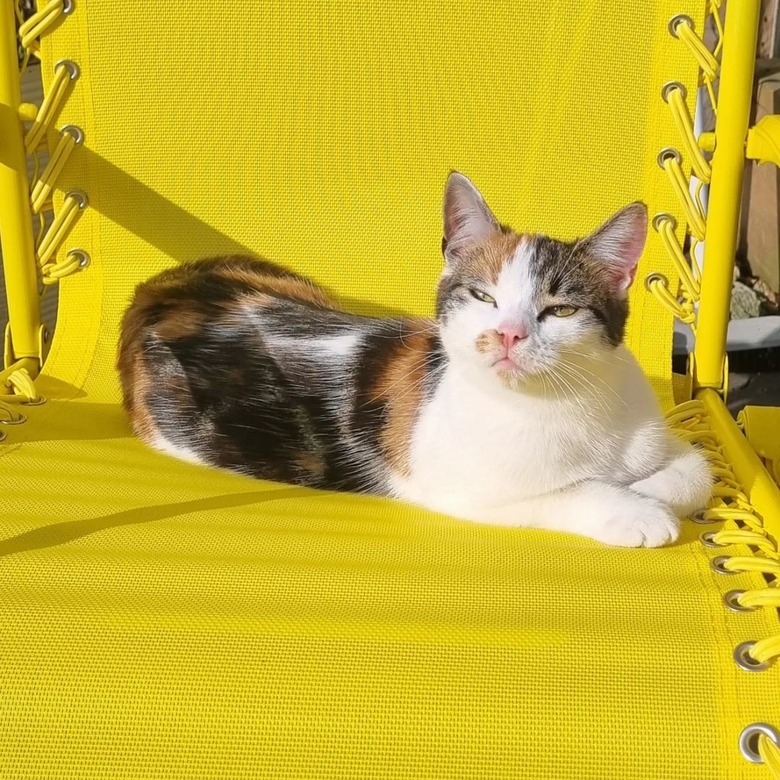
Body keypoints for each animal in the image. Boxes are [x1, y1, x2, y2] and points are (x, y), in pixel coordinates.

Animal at [117, 171, 712, 548]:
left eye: (560, 309)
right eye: (483, 297)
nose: (508, 335)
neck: (566, 399)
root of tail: (157, 288)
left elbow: (699, 468)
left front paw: (649, 488)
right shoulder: (461, 486)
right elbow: (565, 489)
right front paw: (634, 509)